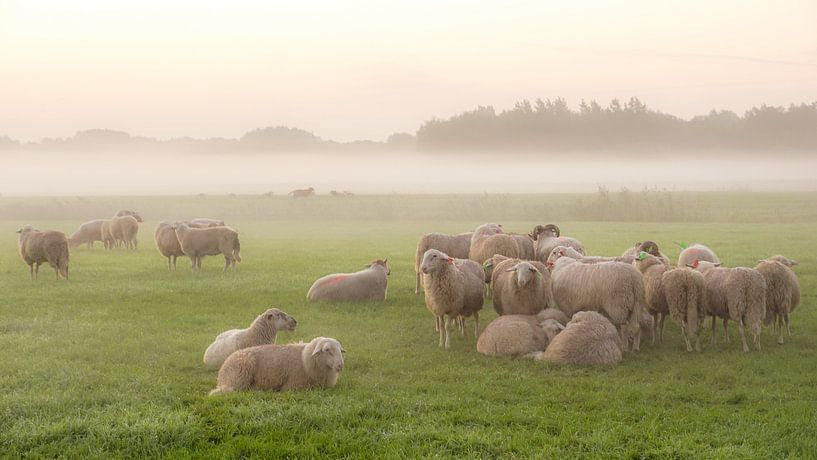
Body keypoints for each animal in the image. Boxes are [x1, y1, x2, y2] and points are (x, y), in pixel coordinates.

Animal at [209, 337, 344, 395]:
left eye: (340, 350)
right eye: (327, 350)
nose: (340, 365)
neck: (305, 359)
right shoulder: (292, 386)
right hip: (238, 380)